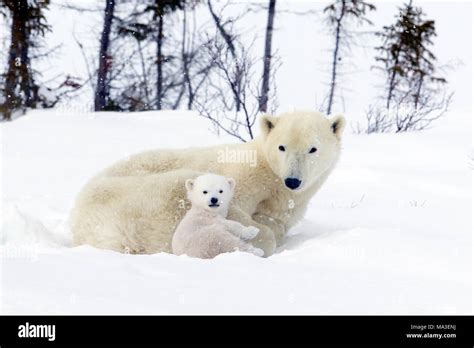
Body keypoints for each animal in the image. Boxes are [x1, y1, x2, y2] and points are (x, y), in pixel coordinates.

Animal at [70, 110, 344, 256]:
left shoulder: (286, 205)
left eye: (313, 149)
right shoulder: (241, 177)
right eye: (282, 147)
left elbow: (277, 221)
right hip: (139, 196)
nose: (293, 180)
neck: (270, 176)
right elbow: (234, 212)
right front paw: (258, 237)